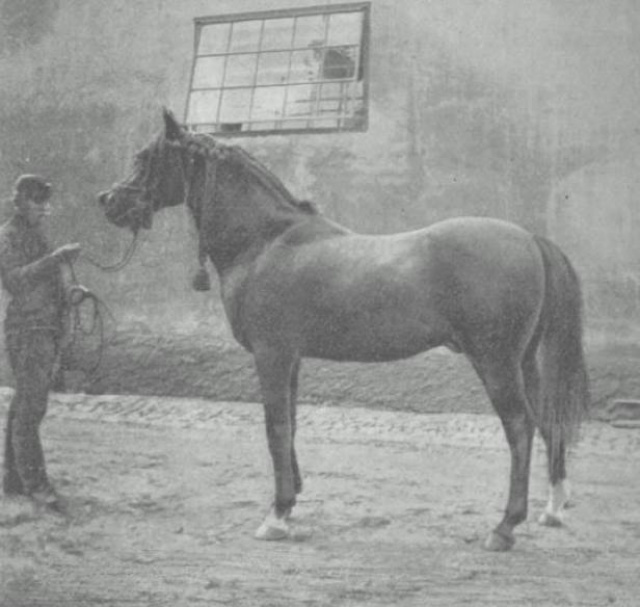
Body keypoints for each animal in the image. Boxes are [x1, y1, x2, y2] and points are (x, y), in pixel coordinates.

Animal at [96, 109, 592, 552]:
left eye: (145, 157)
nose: (108, 200)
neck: (265, 242)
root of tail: (530, 239)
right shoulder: (291, 359)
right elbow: (291, 423)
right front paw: (291, 501)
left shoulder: (272, 355)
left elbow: (275, 427)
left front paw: (276, 516)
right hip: (524, 363)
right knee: (546, 421)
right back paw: (553, 508)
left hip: (496, 363)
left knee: (520, 427)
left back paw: (505, 527)